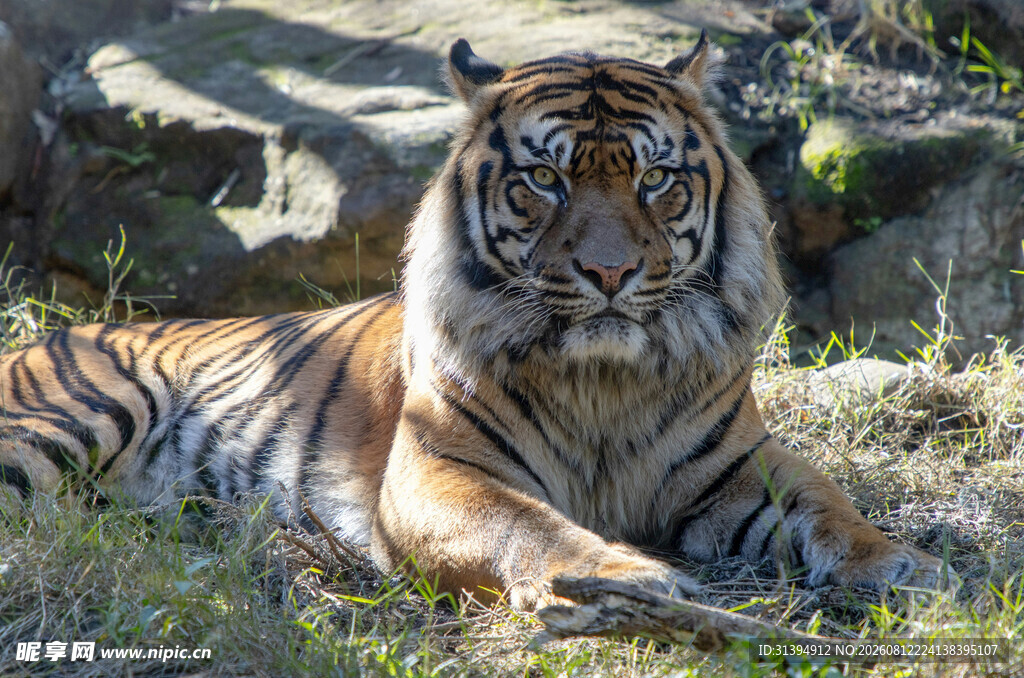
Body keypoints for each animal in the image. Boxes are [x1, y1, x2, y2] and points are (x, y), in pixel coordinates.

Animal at [0, 33, 945, 611]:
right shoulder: (437, 471)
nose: (610, 273)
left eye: (654, 179)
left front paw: (901, 563)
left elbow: (828, 502)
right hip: (71, 416)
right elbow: (528, 526)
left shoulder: (739, 463)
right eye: (545, 181)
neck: (604, 381)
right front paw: (623, 579)